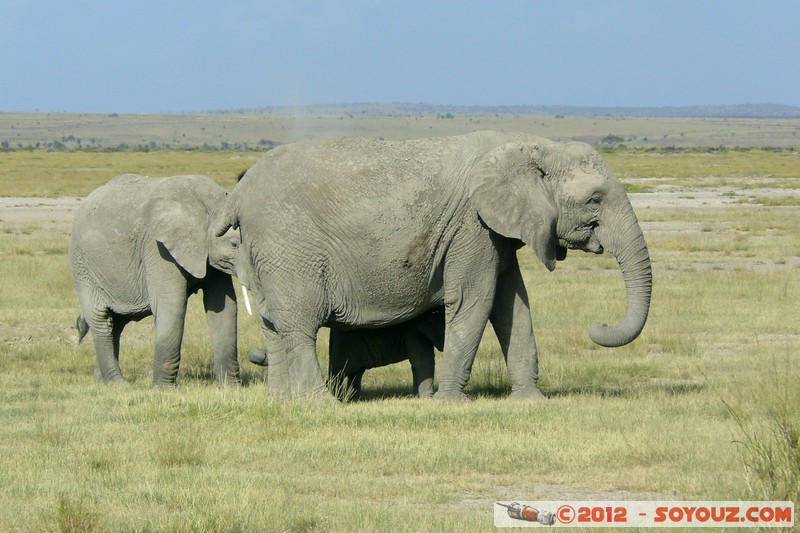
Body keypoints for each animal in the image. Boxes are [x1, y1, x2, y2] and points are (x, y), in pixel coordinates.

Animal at [69, 175, 241, 386]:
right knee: (101, 319)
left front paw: (231, 388)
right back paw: (118, 383)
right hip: (82, 266)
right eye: (234, 244)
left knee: (117, 322)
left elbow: (224, 306)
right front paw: (163, 389)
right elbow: (172, 304)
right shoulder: (158, 249)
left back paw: (103, 382)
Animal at [248, 308, 444, 400]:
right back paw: (340, 397)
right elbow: (422, 360)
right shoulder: (413, 332)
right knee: (340, 372)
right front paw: (426, 399)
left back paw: (354, 397)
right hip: (343, 345)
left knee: (356, 373)